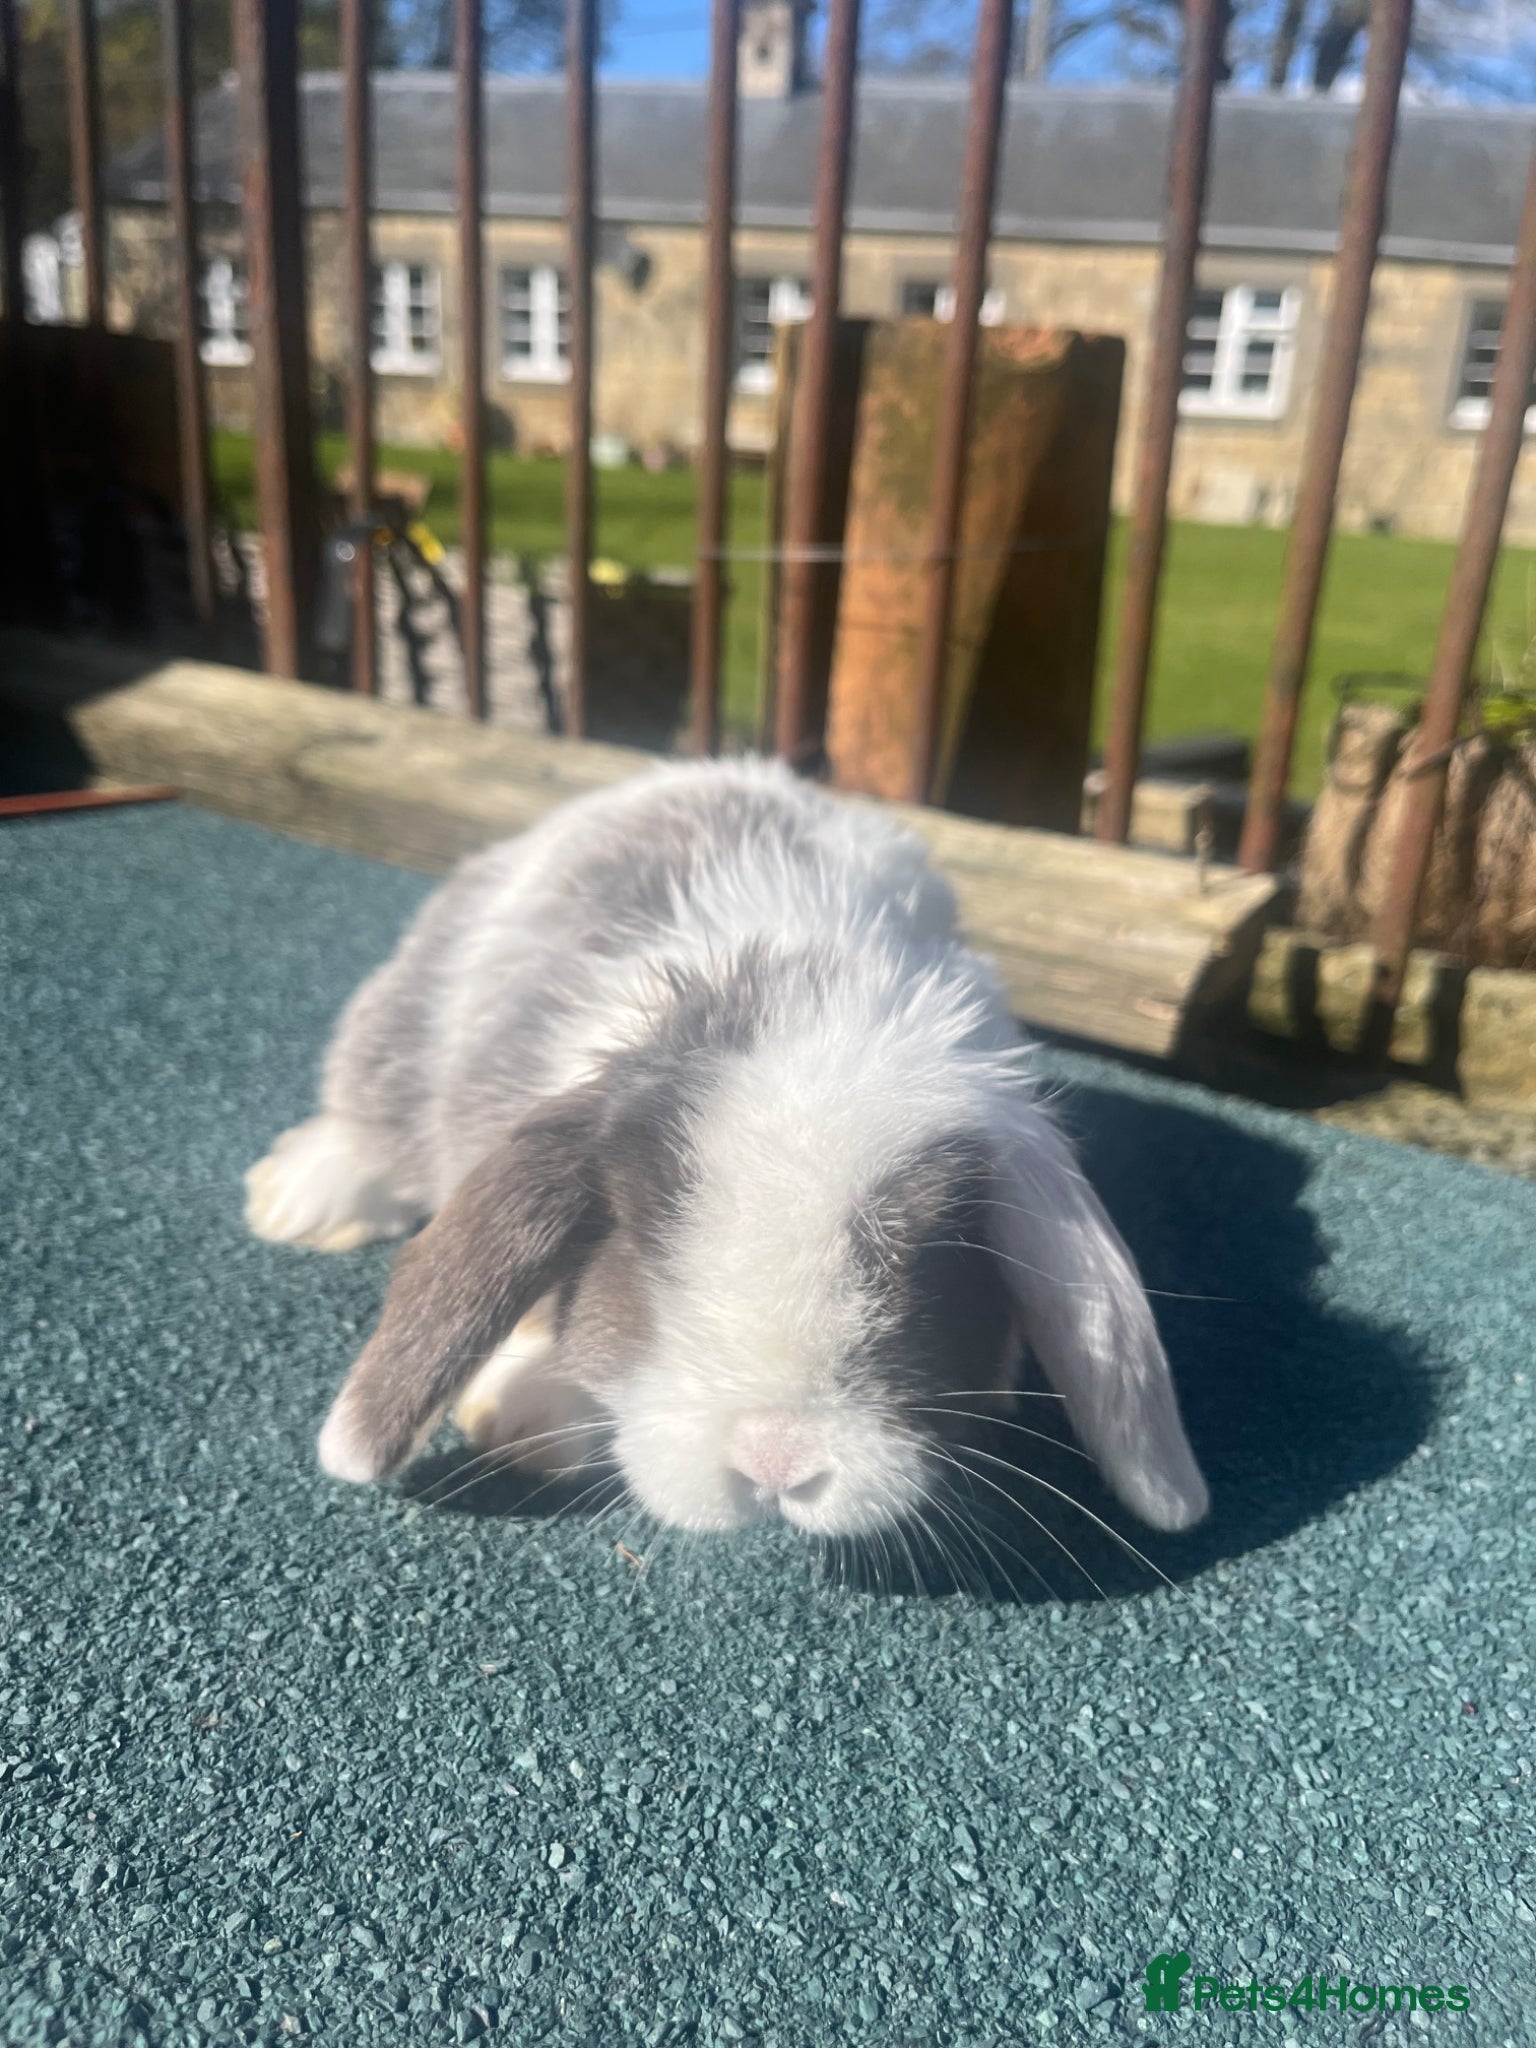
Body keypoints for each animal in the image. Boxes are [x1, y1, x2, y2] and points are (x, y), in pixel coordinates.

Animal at [245, 758, 1208, 1539]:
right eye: (639, 1242)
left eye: (935, 1263)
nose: (774, 1464)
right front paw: (527, 1421)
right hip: (411, 1007)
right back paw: (297, 1199)